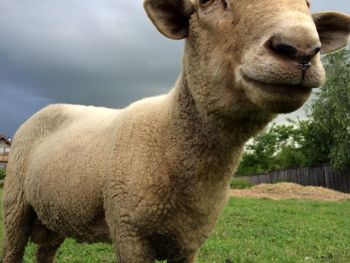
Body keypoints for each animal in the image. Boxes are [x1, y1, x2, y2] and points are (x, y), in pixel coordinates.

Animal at [2, 0, 350, 263]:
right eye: (207, 2)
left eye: (308, 5)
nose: (301, 49)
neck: (169, 135)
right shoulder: (129, 233)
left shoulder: (189, 242)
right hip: (15, 204)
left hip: (54, 212)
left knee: (45, 252)